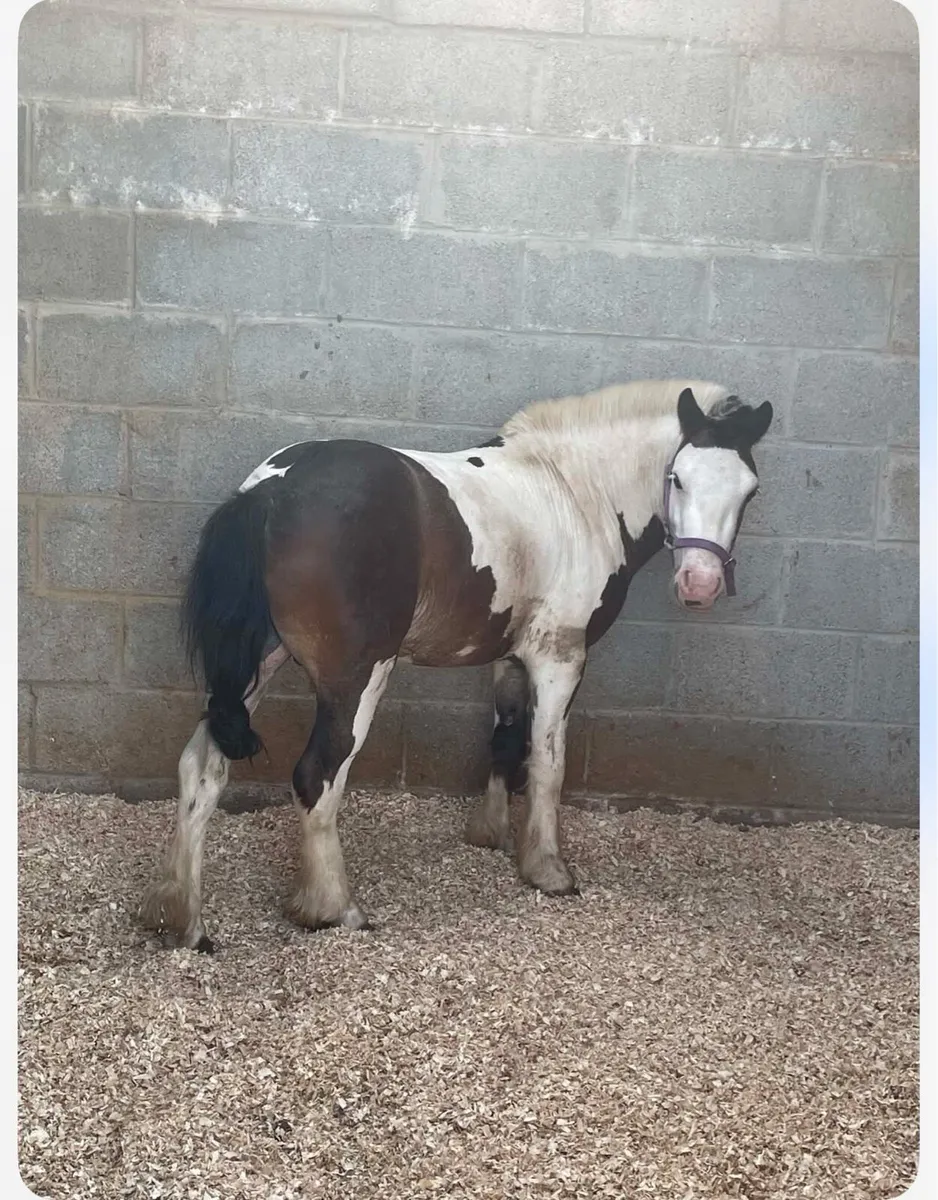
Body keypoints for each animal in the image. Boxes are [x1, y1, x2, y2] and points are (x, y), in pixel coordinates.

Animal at [138, 380, 772, 951]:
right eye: (678, 478)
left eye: (750, 490)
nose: (699, 584)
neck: (572, 491)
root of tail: (271, 490)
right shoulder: (559, 658)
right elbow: (548, 763)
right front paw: (548, 870)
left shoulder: (510, 657)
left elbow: (505, 740)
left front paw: (489, 834)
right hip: (356, 680)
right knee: (318, 776)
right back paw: (333, 908)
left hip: (255, 667)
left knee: (201, 769)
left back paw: (181, 918)